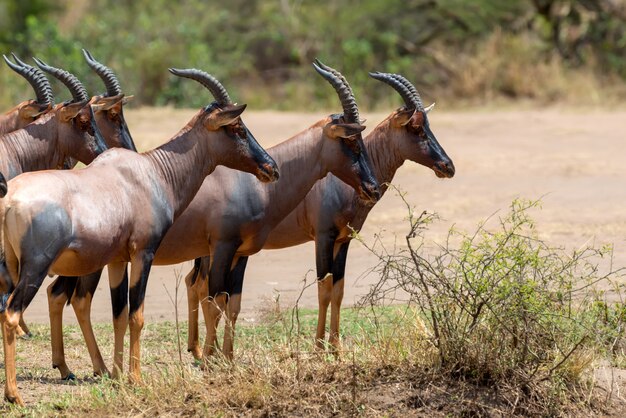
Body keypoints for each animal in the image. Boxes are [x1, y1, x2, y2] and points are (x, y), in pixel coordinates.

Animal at [0, 68, 278, 404]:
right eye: (236, 127)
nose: (271, 168)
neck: (149, 172)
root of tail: (10, 199)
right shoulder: (143, 254)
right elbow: (137, 315)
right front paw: (136, 378)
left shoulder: (118, 259)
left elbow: (119, 314)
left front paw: (118, 375)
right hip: (35, 268)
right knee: (11, 314)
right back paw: (14, 395)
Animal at [185, 68, 454, 356]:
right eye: (415, 127)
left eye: (428, 125)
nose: (447, 166)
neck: (339, 179)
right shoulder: (323, 237)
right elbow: (323, 288)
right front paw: (318, 347)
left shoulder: (344, 240)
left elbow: (338, 289)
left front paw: (336, 347)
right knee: (201, 287)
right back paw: (202, 352)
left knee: (193, 282)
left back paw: (196, 350)